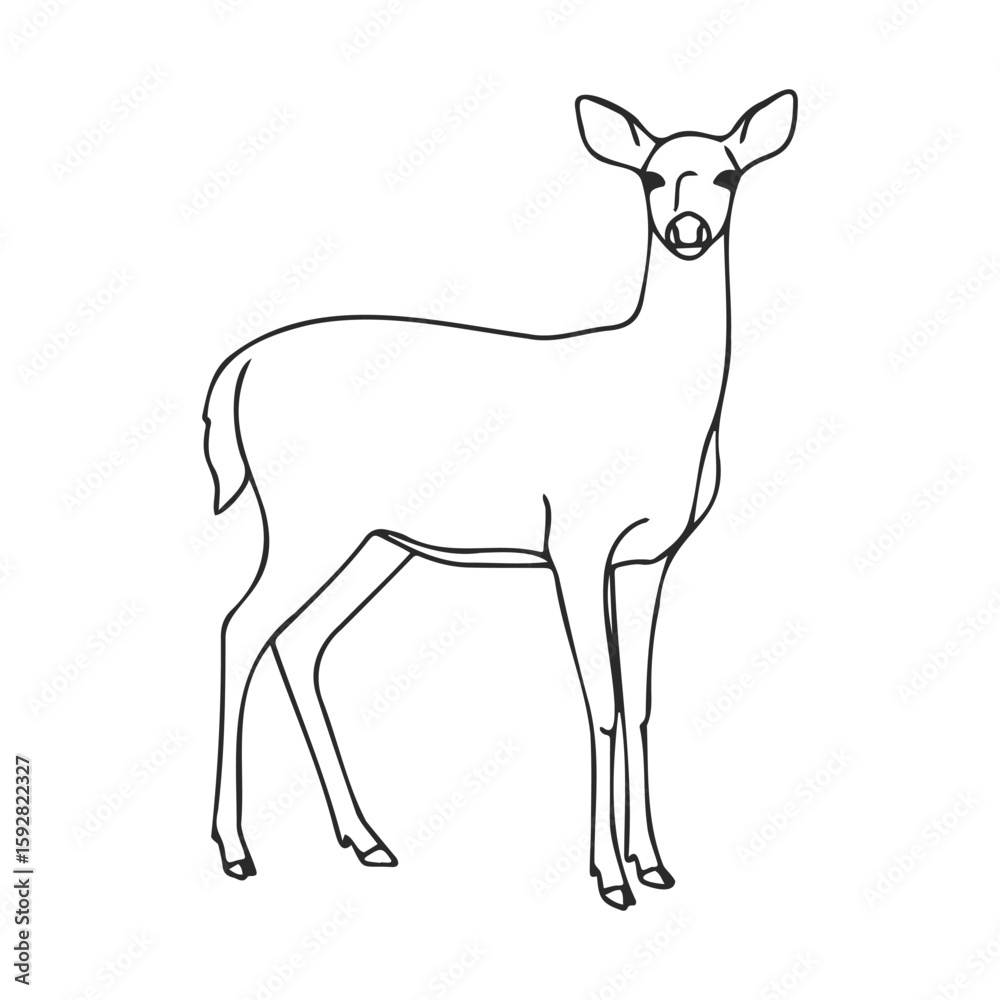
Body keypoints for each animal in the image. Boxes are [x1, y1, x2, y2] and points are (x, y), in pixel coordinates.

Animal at [204, 89, 798, 910]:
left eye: (727, 175)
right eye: (651, 176)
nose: (687, 230)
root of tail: (238, 366)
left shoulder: (649, 558)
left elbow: (641, 701)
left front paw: (654, 863)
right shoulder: (575, 540)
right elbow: (602, 701)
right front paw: (610, 878)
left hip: (374, 540)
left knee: (299, 640)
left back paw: (367, 839)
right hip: (304, 517)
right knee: (240, 628)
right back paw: (236, 850)